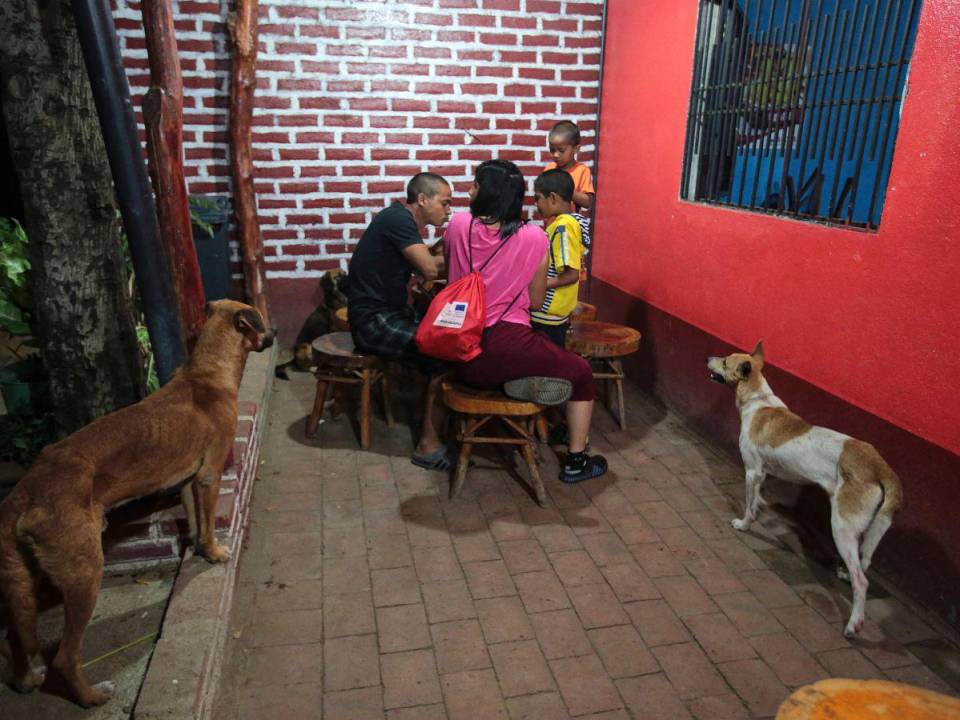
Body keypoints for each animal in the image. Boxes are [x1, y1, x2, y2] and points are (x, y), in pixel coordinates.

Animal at [0, 300, 272, 708]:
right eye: (259, 318)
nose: (275, 335)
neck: (207, 370)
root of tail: (26, 489)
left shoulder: (186, 482)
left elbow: (195, 520)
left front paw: (196, 547)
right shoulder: (209, 475)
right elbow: (209, 524)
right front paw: (214, 552)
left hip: (23, 582)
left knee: (16, 637)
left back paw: (26, 679)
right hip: (84, 576)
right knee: (65, 656)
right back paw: (91, 697)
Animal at [704, 344, 900, 636]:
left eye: (726, 361)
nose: (707, 358)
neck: (757, 398)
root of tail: (879, 466)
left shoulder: (752, 470)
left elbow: (748, 503)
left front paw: (745, 523)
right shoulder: (763, 472)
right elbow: (758, 496)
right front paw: (759, 508)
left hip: (841, 527)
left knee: (862, 581)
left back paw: (854, 623)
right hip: (868, 531)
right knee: (864, 563)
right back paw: (845, 576)